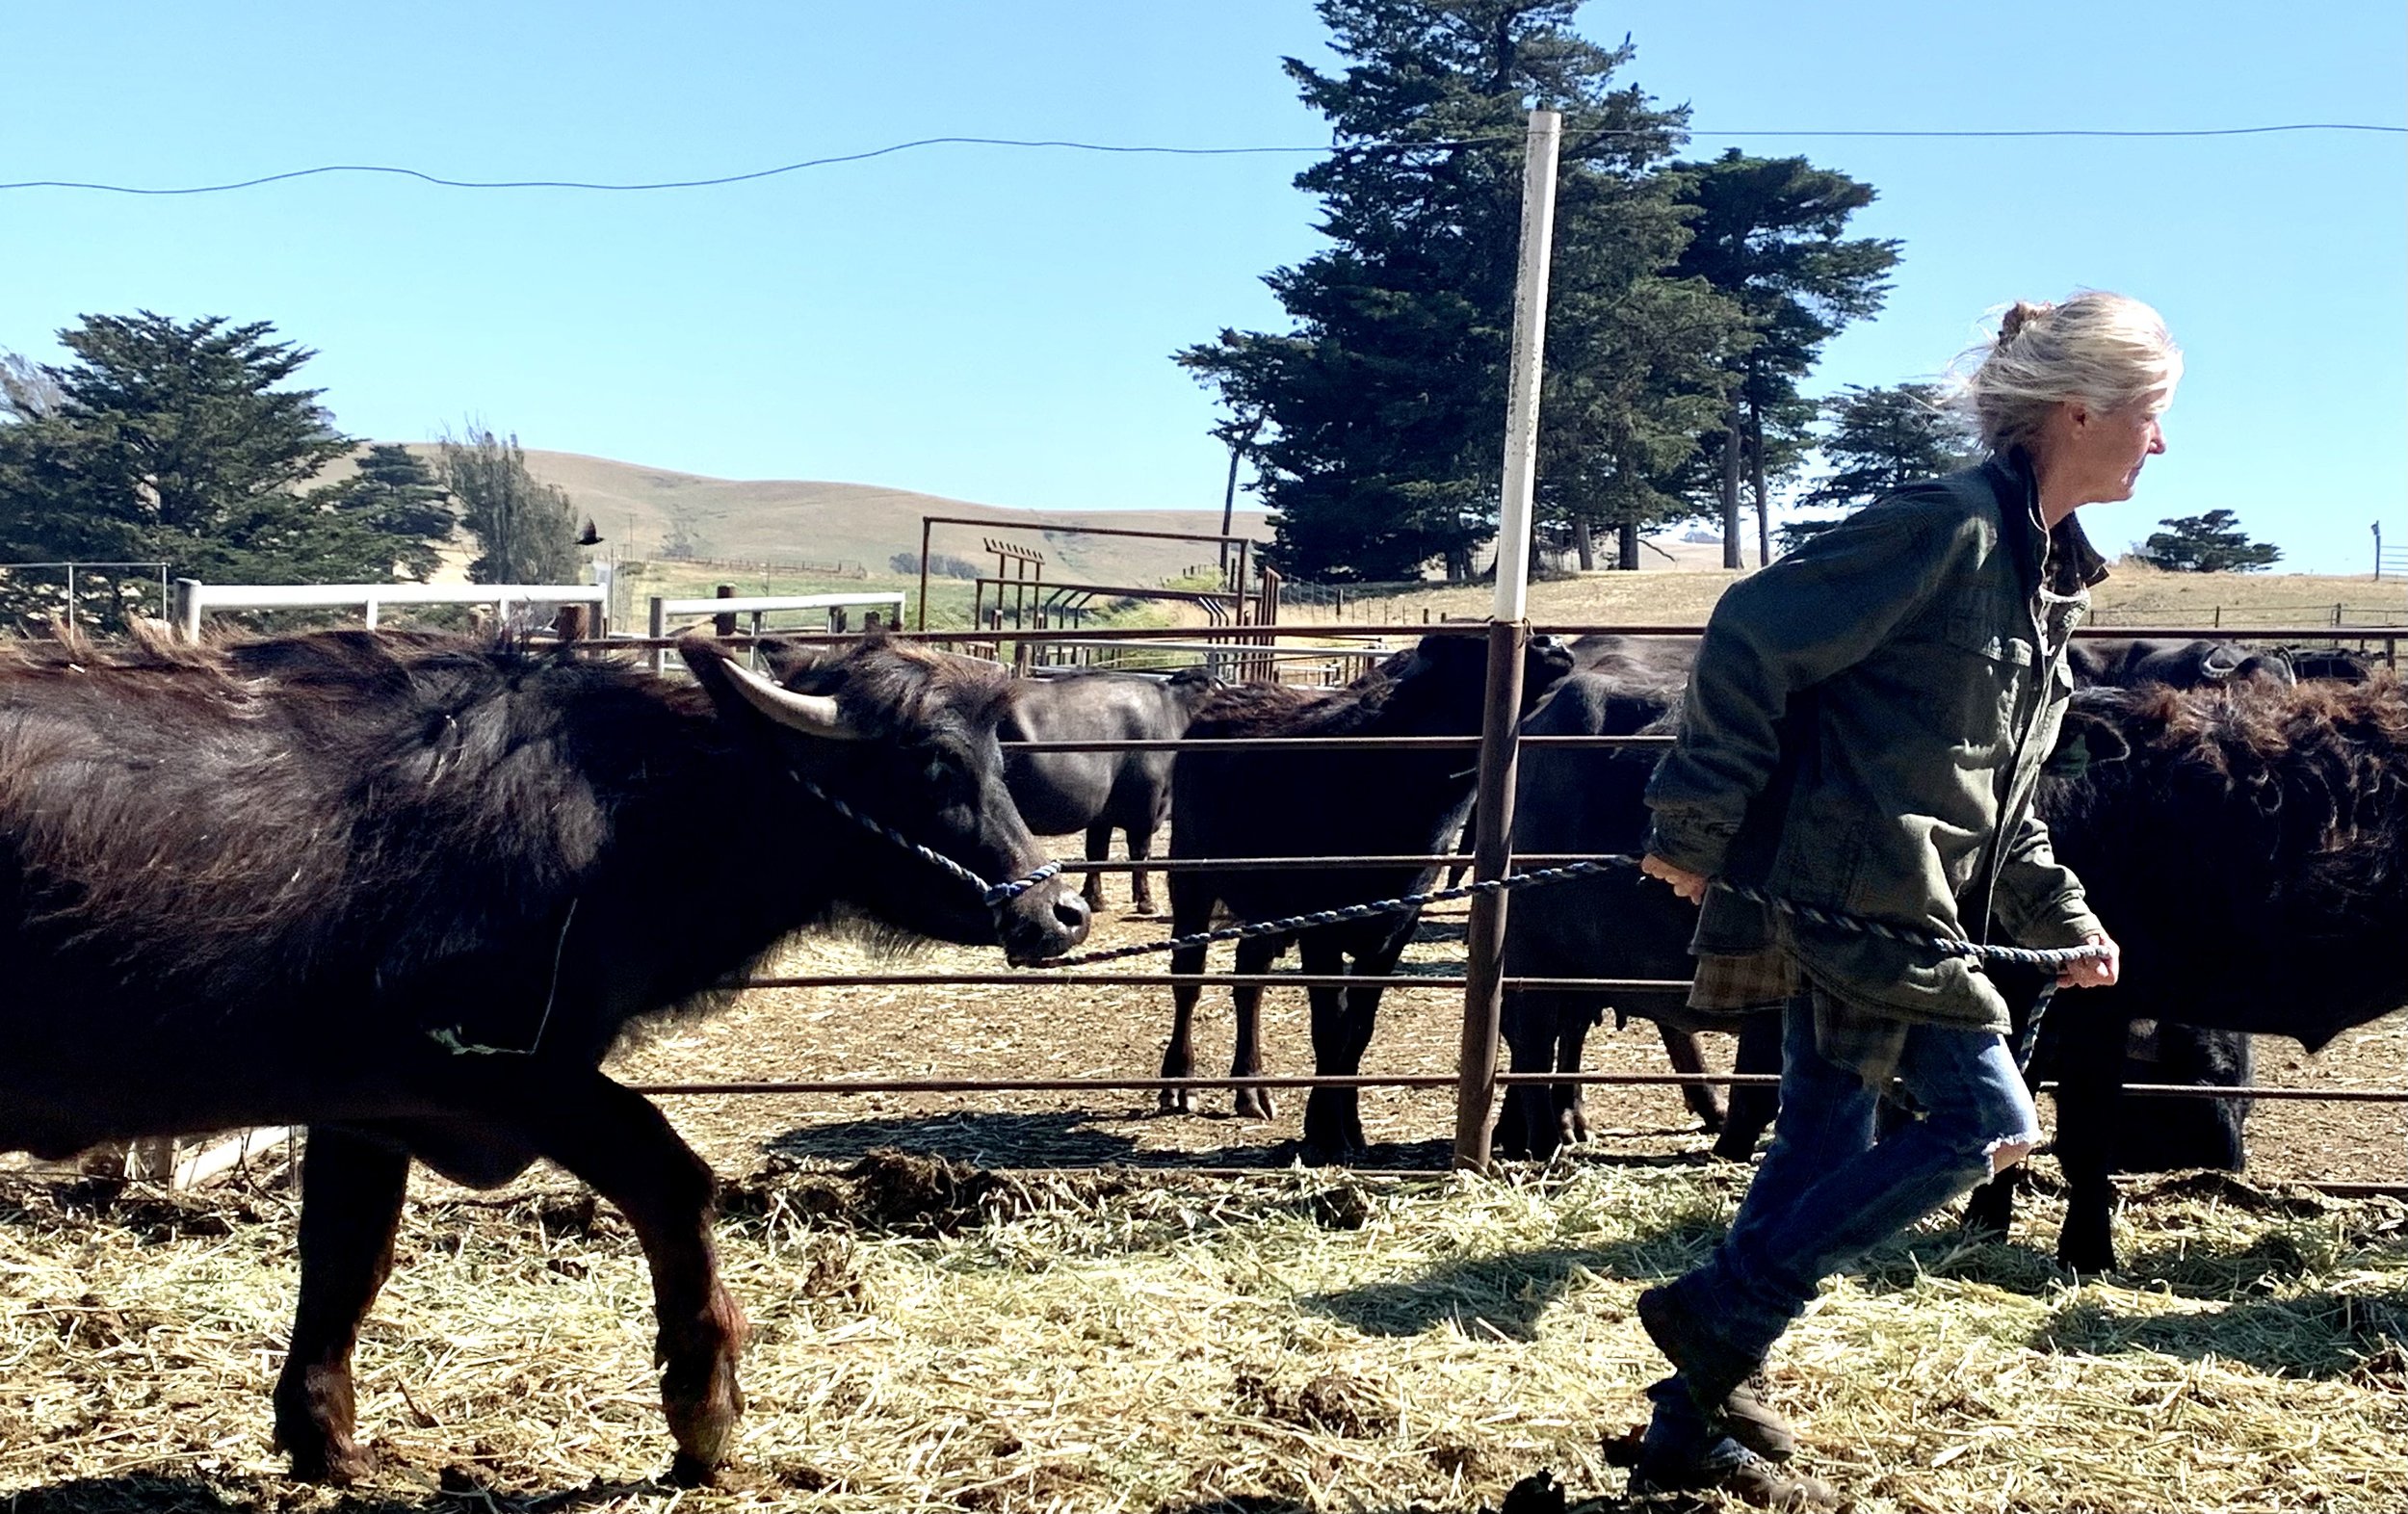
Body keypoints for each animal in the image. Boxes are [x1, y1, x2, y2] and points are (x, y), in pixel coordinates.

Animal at [0, 620, 1084, 1482]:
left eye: (998, 758)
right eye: (934, 764)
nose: (1059, 911)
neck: (620, 814)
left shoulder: (366, 1107)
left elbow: (347, 1257)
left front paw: (324, 1437)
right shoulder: (498, 1075)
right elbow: (670, 1178)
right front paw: (704, 1413)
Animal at [1002, 668, 1223, 909]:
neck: (1173, 712)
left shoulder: (1102, 815)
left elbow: (1097, 852)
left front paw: (1094, 898)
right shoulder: (1146, 805)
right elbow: (1140, 851)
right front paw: (1146, 901)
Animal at [1151, 630, 1570, 1155]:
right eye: (1469, 647)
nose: (1553, 643)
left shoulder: (1394, 932)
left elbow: (1358, 1029)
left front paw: (1349, 1126)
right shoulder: (1320, 929)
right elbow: (1330, 1027)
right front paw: (1324, 1130)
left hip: (1261, 910)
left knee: (1249, 981)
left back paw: (1252, 1089)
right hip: (1190, 880)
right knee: (1188, 978)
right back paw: (1177, 1082)